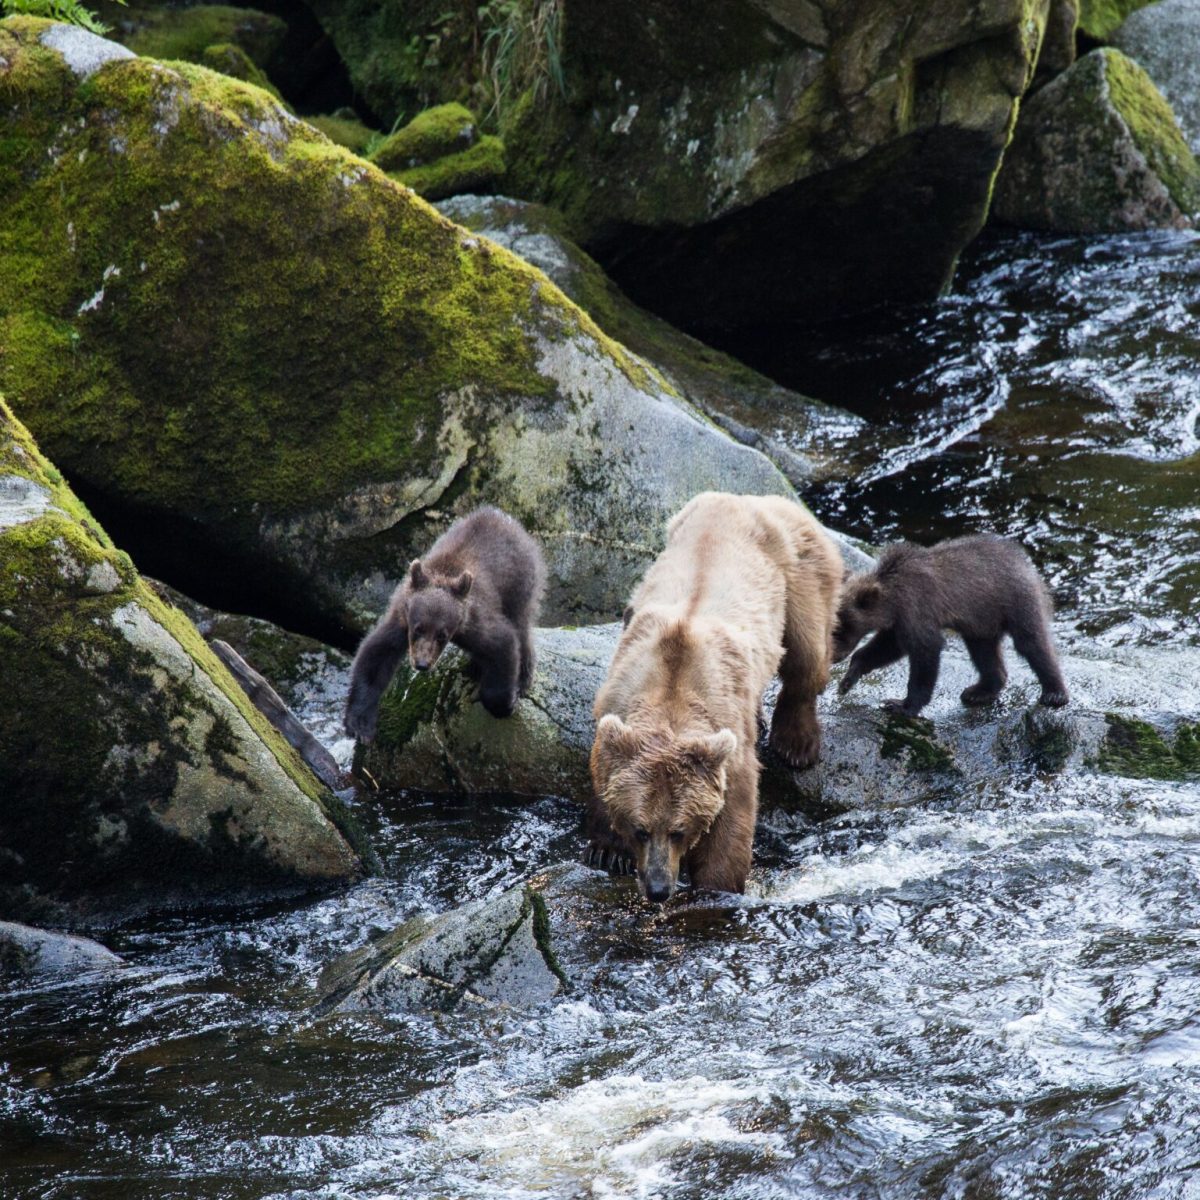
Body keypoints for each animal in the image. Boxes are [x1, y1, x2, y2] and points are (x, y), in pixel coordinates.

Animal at [344, 507, 545, 742]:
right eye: (418, 628)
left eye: (442, 635)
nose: (422, 664)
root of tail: (505, 518)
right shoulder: (401, 618)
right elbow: (376, 657)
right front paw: (360, 724)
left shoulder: (472, 621)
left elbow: (502, 642)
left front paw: (505, 703)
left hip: (519, 584)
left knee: (521, 625)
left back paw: (522, 678)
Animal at [586, 492, 842, 902]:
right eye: (641, 829)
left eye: (678, 830)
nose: (658, 888)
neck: (670, 692)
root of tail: (752, 498)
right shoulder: (617, 697)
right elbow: (605, 767)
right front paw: (606, 850)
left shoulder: (726, 736)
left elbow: (733, 813)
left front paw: (716, 886)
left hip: (800, 573)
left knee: (807, 652)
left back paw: (797, 742)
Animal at [833, 533, 1069, 717]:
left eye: (841, 627)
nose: (834, 657)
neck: (893, 598)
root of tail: (1026, 562)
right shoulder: (899, 623)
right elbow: (884, 647)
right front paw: (847, 681)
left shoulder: (918, 609)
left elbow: (926, 651)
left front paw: (900, 704)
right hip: (981, 622)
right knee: (984, 652)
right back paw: (977, 691)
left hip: (1016, 600)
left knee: (1032, 643)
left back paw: (1054, 693)